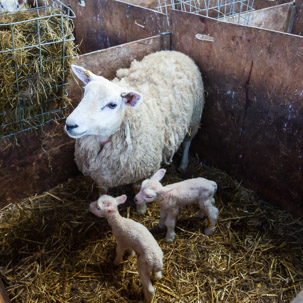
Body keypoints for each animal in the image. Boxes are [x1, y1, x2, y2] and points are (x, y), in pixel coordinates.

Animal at [65, 50, 205, 216]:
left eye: (112, 105)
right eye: (85, 93)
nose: (70, 124)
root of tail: (175, 52)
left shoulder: (142, 170)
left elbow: (137, 188)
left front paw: (141, 209)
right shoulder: (100, 173)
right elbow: (102, 191)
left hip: (194, 118)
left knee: (188, 142)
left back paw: (183, 165)